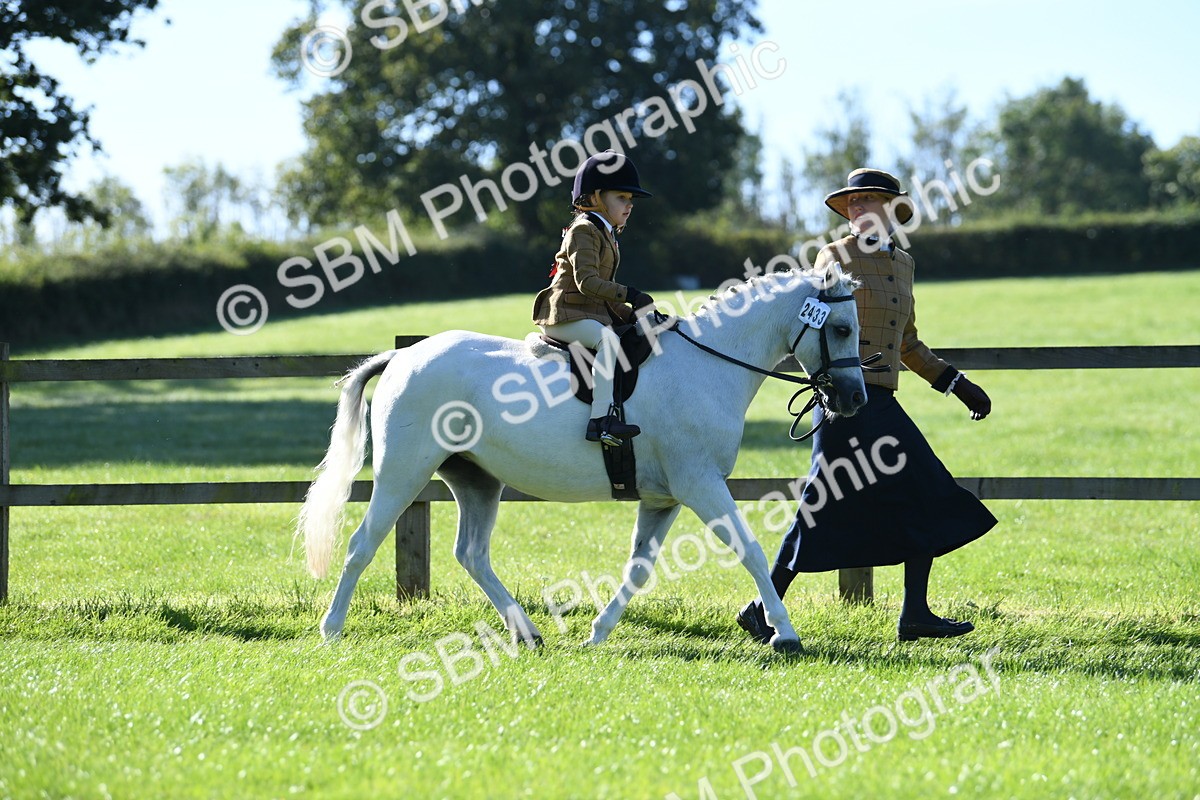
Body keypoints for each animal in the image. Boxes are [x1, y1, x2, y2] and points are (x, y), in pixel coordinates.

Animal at [299, 266, 867, 652]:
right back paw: (331, 628)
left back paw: (527, 632)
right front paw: (784, 634)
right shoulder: (701, 484)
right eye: (841, 329)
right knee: (363, 543)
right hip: (404, 471)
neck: (710, 365)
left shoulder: (664, 498)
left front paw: (598, 632)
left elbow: (639, 566)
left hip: (476, 480)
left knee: (472, 554)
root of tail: (403, 355)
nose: (855, 398)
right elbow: (749, 551)